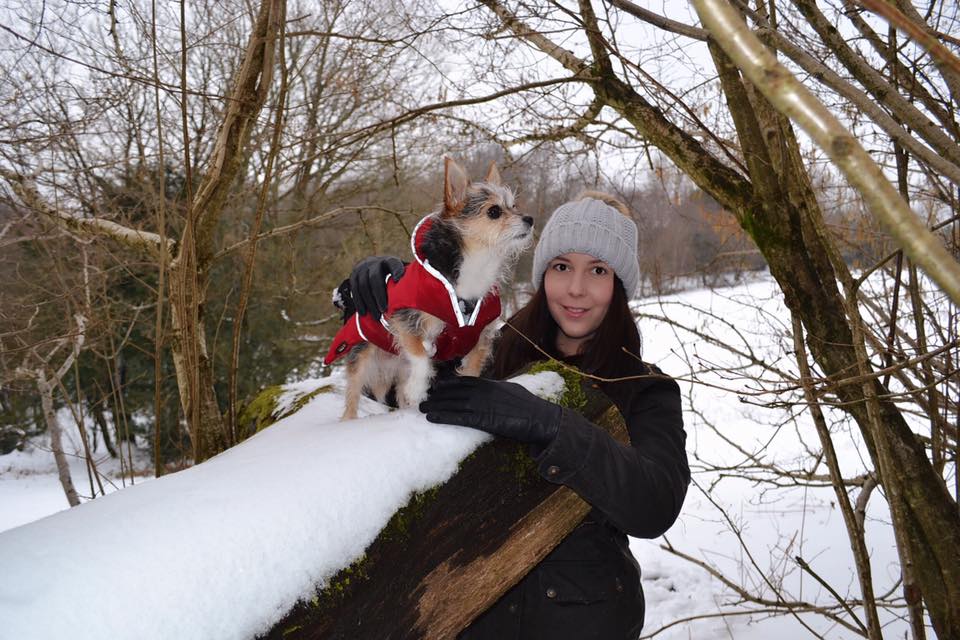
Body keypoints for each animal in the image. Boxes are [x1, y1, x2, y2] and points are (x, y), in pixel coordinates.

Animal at [324, 157, 532, 420]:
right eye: (494, 212)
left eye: (514, 205)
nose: (530, 219)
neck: (475, 266)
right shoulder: (404, 320)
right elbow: (421, 357)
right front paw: (418, 388)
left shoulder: (480, 339)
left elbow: (471, 372)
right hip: (361, 357)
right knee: (353, 394)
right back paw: (349, 421)